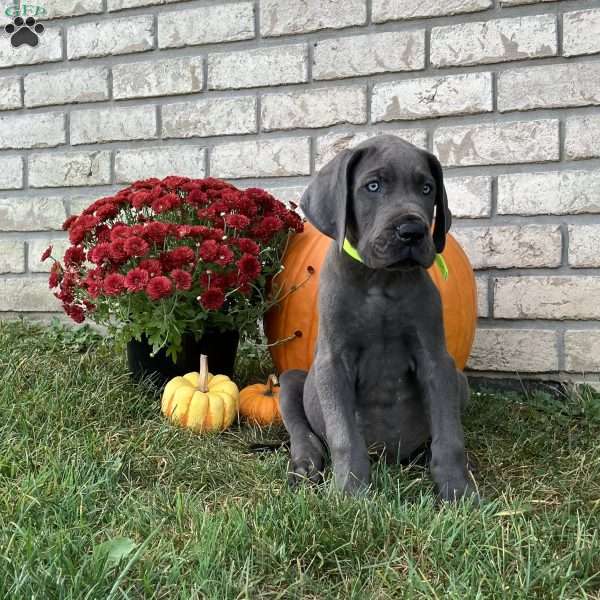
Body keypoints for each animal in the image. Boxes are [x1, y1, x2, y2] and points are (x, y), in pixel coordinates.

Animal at [278, 136, 478, 502]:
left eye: (427, 188)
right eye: (373, 186)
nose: (412, 230)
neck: (381, 281)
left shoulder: (436, 359)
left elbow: (449, 435)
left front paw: (457, 490)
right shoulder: (333, 363)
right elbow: (344, 435)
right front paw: (350, 492)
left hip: (461, 381)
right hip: (291, 381)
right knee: (302, 430)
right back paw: (305, 464)